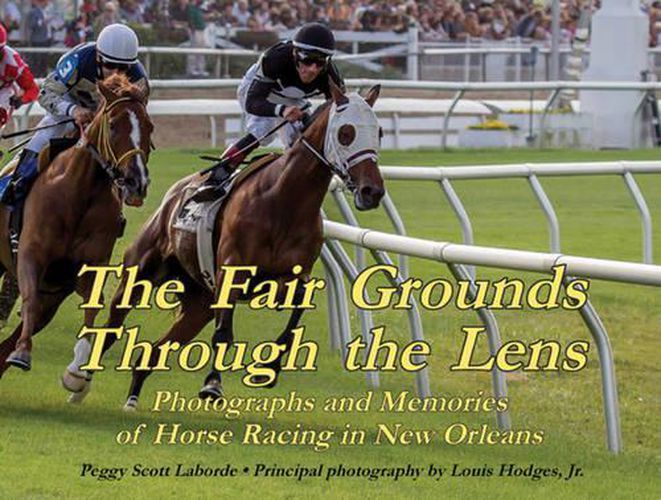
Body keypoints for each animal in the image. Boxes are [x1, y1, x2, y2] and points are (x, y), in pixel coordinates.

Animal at [0, 75, 153, 376]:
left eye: (149, 127)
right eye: (113, 124)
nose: (136, 182)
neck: (80, 195)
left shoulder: (85, 268)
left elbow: (92, 308)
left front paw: (80, 367)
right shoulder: (30, 254)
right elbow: (29, 299)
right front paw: (23, 353)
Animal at [63, 78, 382, 408]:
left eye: (379, 132)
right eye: (346, 132)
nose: (372, 191)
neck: (284, 202)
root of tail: (172, 196)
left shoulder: (288, 278)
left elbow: (296, 316)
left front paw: (269, 368)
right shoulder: (232, 272)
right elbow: (224, 333)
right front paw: (212, 384)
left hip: (199, 304)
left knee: (153, 352)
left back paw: (131, 399)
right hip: (140, 270)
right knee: (112, 327)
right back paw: (78, 380)